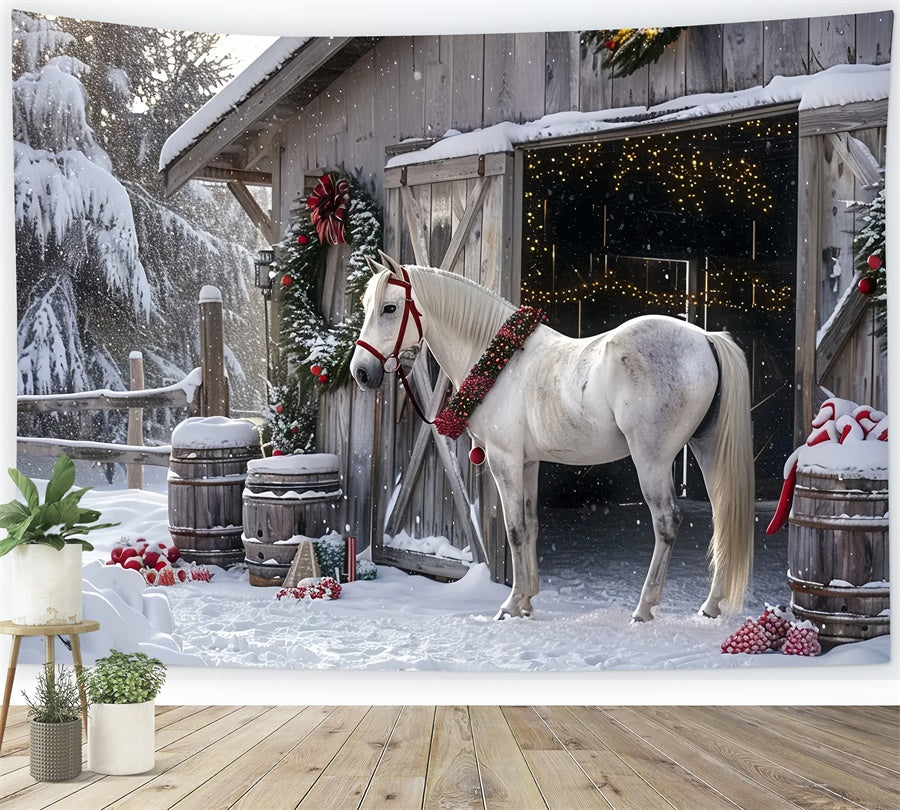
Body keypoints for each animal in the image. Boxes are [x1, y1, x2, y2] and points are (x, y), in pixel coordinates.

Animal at [350, 255, 754, 622]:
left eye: (390, 308)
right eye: (366, 306)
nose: (360, 372)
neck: (499, 360)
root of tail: (705, 338)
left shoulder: (504, 460)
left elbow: (514, 529)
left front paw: (510, 604)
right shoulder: (528, 462)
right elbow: (530, 526)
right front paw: (527, 601)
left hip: (651, 459)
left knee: (667, 521)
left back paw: (644, 609)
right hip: (706, 448)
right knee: (721, 516)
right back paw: (711, 605)